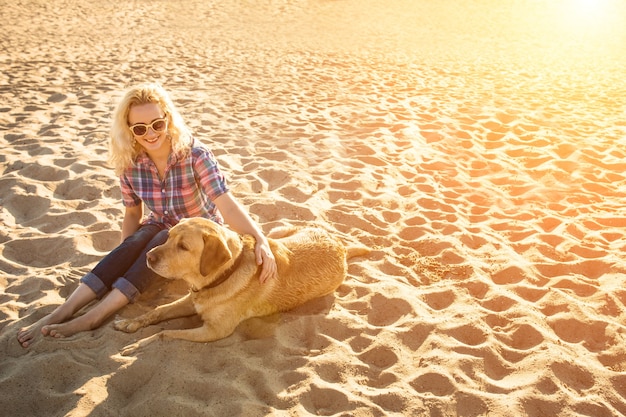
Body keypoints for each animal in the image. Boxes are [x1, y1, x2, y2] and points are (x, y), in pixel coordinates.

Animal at [114, 218, 364, 352]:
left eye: (183, 247)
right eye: (168, 236)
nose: (148, 257)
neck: (223, 275)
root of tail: (341, 246)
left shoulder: (215, 331)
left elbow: (166, 333)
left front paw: (140, 344)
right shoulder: (191, 300)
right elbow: (158, 310)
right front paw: (130, 322)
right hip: (277, 231)